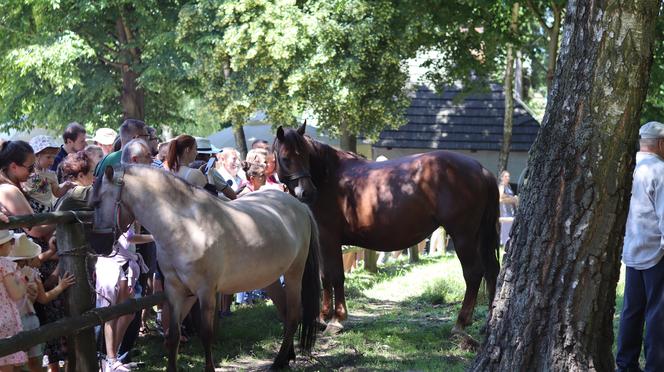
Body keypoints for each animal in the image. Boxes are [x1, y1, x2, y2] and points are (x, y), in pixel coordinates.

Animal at [91, 166, 322, 372]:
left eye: (97, 202)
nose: (97, 247)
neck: (187, 226)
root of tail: (299, 206)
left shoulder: (206, 291)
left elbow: (206, 334)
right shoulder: (175, 290)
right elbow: (173, 335)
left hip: (294, 274)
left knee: (293, 315)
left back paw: (279, 361)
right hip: (269, 279)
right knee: (285, 312)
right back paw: (286, 357)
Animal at [274, 124, 498, 338]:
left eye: (304, 155)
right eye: (286, 158)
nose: (306, 192)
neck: (328, 176)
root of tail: (481, 169)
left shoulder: (330, 239)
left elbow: (336, 275)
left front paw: (336, 320)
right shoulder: (321, 241)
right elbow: (325, 277)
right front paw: (322, 317)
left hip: (463, 237)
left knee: (473, 273)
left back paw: (460, 323)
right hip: (478, 236)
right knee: (492, 270)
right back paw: (488, 323)